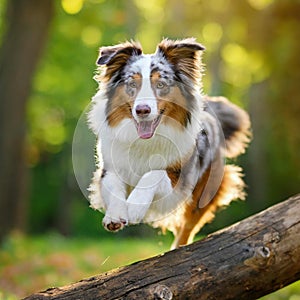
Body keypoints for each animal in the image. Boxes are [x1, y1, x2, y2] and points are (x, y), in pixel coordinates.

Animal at [87, 37, 251, 248]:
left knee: (188, 225)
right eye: (132, 84)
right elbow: (113, 185)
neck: (145, 141)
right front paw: (115, 215)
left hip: (204, 191)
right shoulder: (110, 167)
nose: (142, 110)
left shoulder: (179, 183)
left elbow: (154, 174)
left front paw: (135, 206)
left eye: (161, 84)